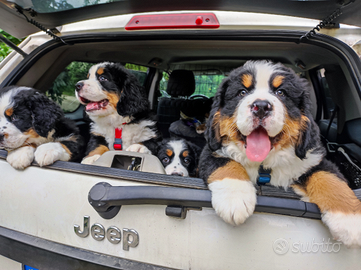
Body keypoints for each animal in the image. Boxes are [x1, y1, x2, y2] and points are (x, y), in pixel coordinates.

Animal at [198, 60, 360, 247]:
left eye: (281, 92)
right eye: (242, 92)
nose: (261, 106)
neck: (264, 164)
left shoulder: (312, 158)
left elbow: (329, 178)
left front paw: (349, 218)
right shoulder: (211, 150)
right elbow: (226, 164)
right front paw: (235, 199)